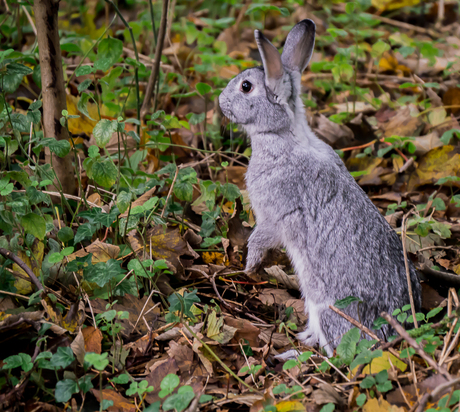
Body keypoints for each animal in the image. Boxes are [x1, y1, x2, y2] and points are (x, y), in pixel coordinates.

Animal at [219, 18, 420, 358]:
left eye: (246, 86)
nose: (220, 102)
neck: (283, 135)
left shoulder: (274, 215)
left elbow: (260, 239)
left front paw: (248, 267)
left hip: (326, 308)